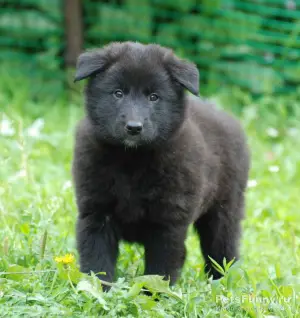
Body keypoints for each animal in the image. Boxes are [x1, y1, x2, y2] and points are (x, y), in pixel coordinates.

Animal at [71, 41, 250, 286]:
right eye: (118, 93)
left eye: (154, 97)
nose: (134, 127)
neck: (132, 161)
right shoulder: (96, 212)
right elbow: (97, 260)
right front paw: (99, 290)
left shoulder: (168, 222)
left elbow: (161, 267)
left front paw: (153, 293)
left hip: (225, 212)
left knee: (222, 250)